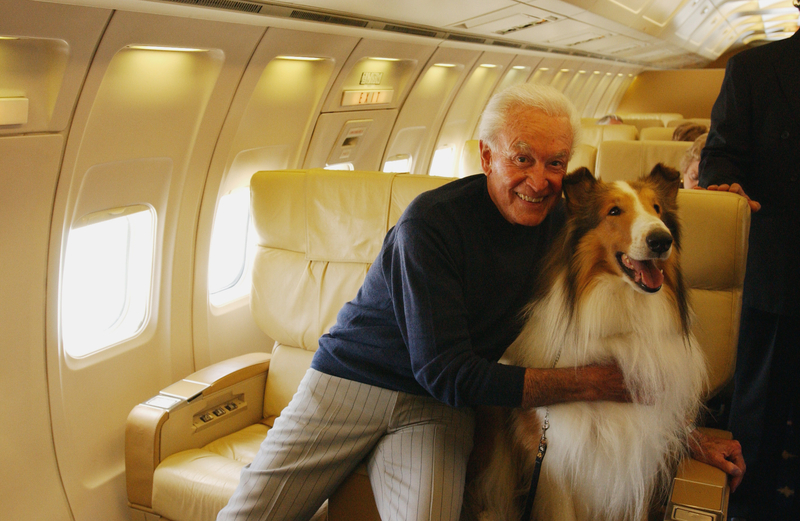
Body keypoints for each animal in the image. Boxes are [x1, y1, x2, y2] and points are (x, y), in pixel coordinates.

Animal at [468, 165, 708, 520]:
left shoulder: (642, 457)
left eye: (657, 209)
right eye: (614, 211)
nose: (661, 240)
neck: (623, 327)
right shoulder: (557, 459)